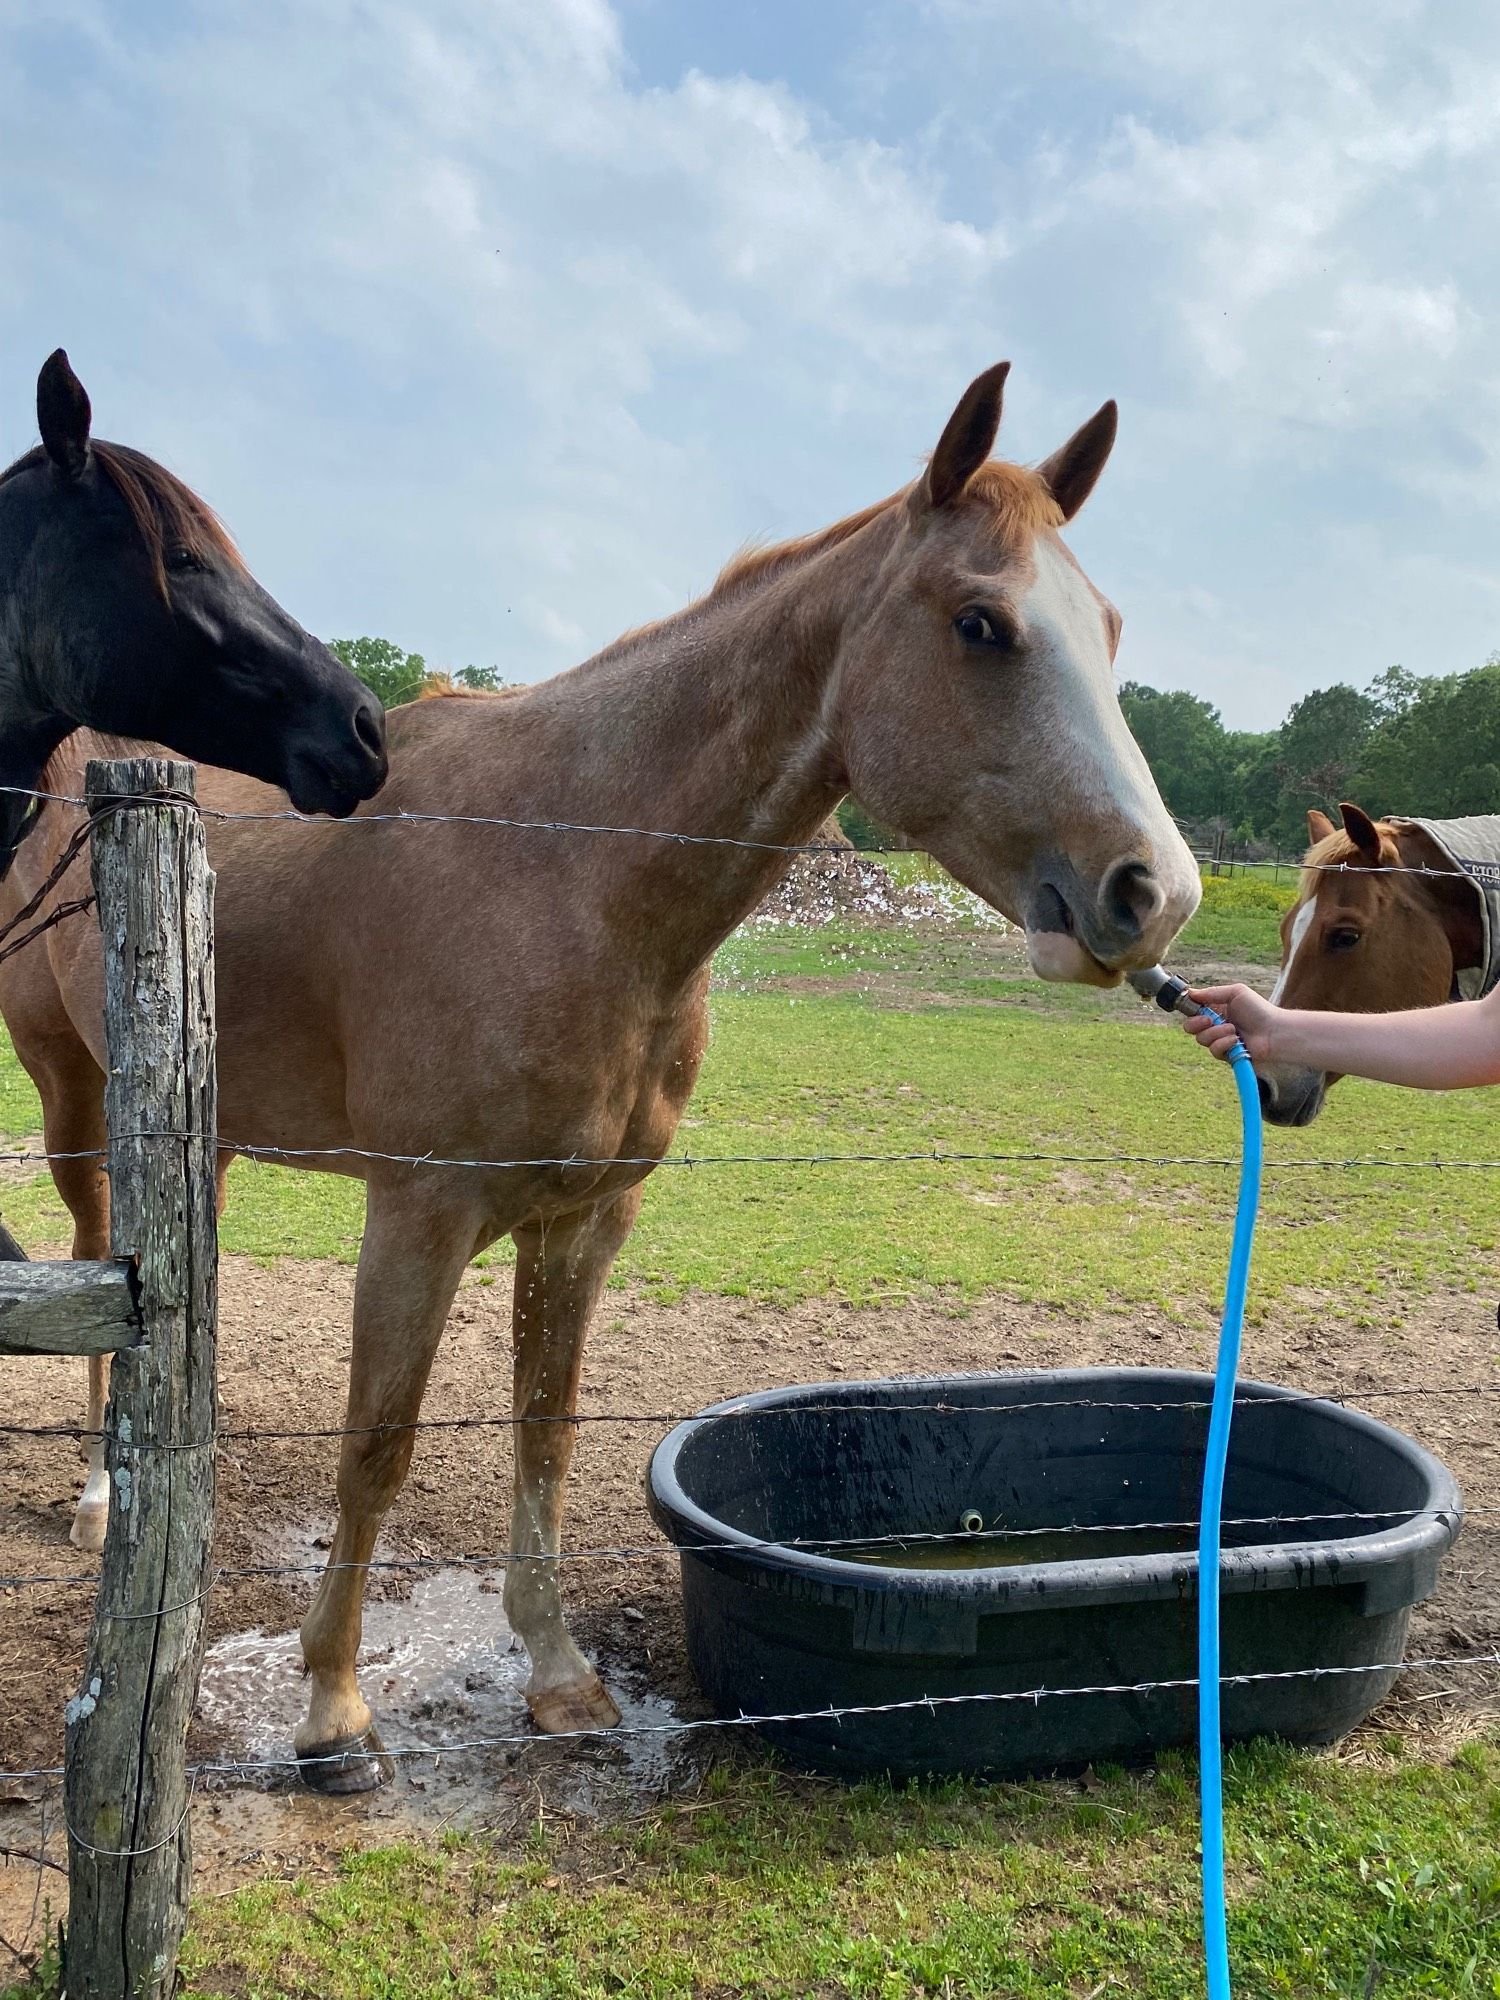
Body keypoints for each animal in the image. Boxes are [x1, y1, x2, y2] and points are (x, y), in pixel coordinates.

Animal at [0, 368, 1200, 1792]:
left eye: (1111, 626)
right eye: (981, 623)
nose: (1153, 891)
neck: (569, 872)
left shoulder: (586, 1218)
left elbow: (547, 1427)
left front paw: (559, 1672)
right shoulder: (419, 1216)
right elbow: (378, 1445)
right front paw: (334, 1708)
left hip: (209, 1126)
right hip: (73, 1095)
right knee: (94, 1254)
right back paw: (101, 1496)